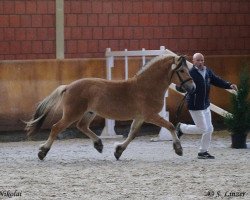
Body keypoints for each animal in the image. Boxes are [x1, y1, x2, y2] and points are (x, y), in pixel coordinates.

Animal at [25, 54, 197, 161]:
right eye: (182, 70)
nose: (193, 87)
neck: (146, 87)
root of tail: (68, 86)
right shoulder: (150, 115)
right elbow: (170, 125)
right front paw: (178, 149)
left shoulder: (140, 117)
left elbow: (132, 134)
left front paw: (118, 150)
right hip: (72, 113)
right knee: (56, 128)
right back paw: (43, 152)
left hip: (89, 112)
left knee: (82, 126)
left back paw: (98, 144)